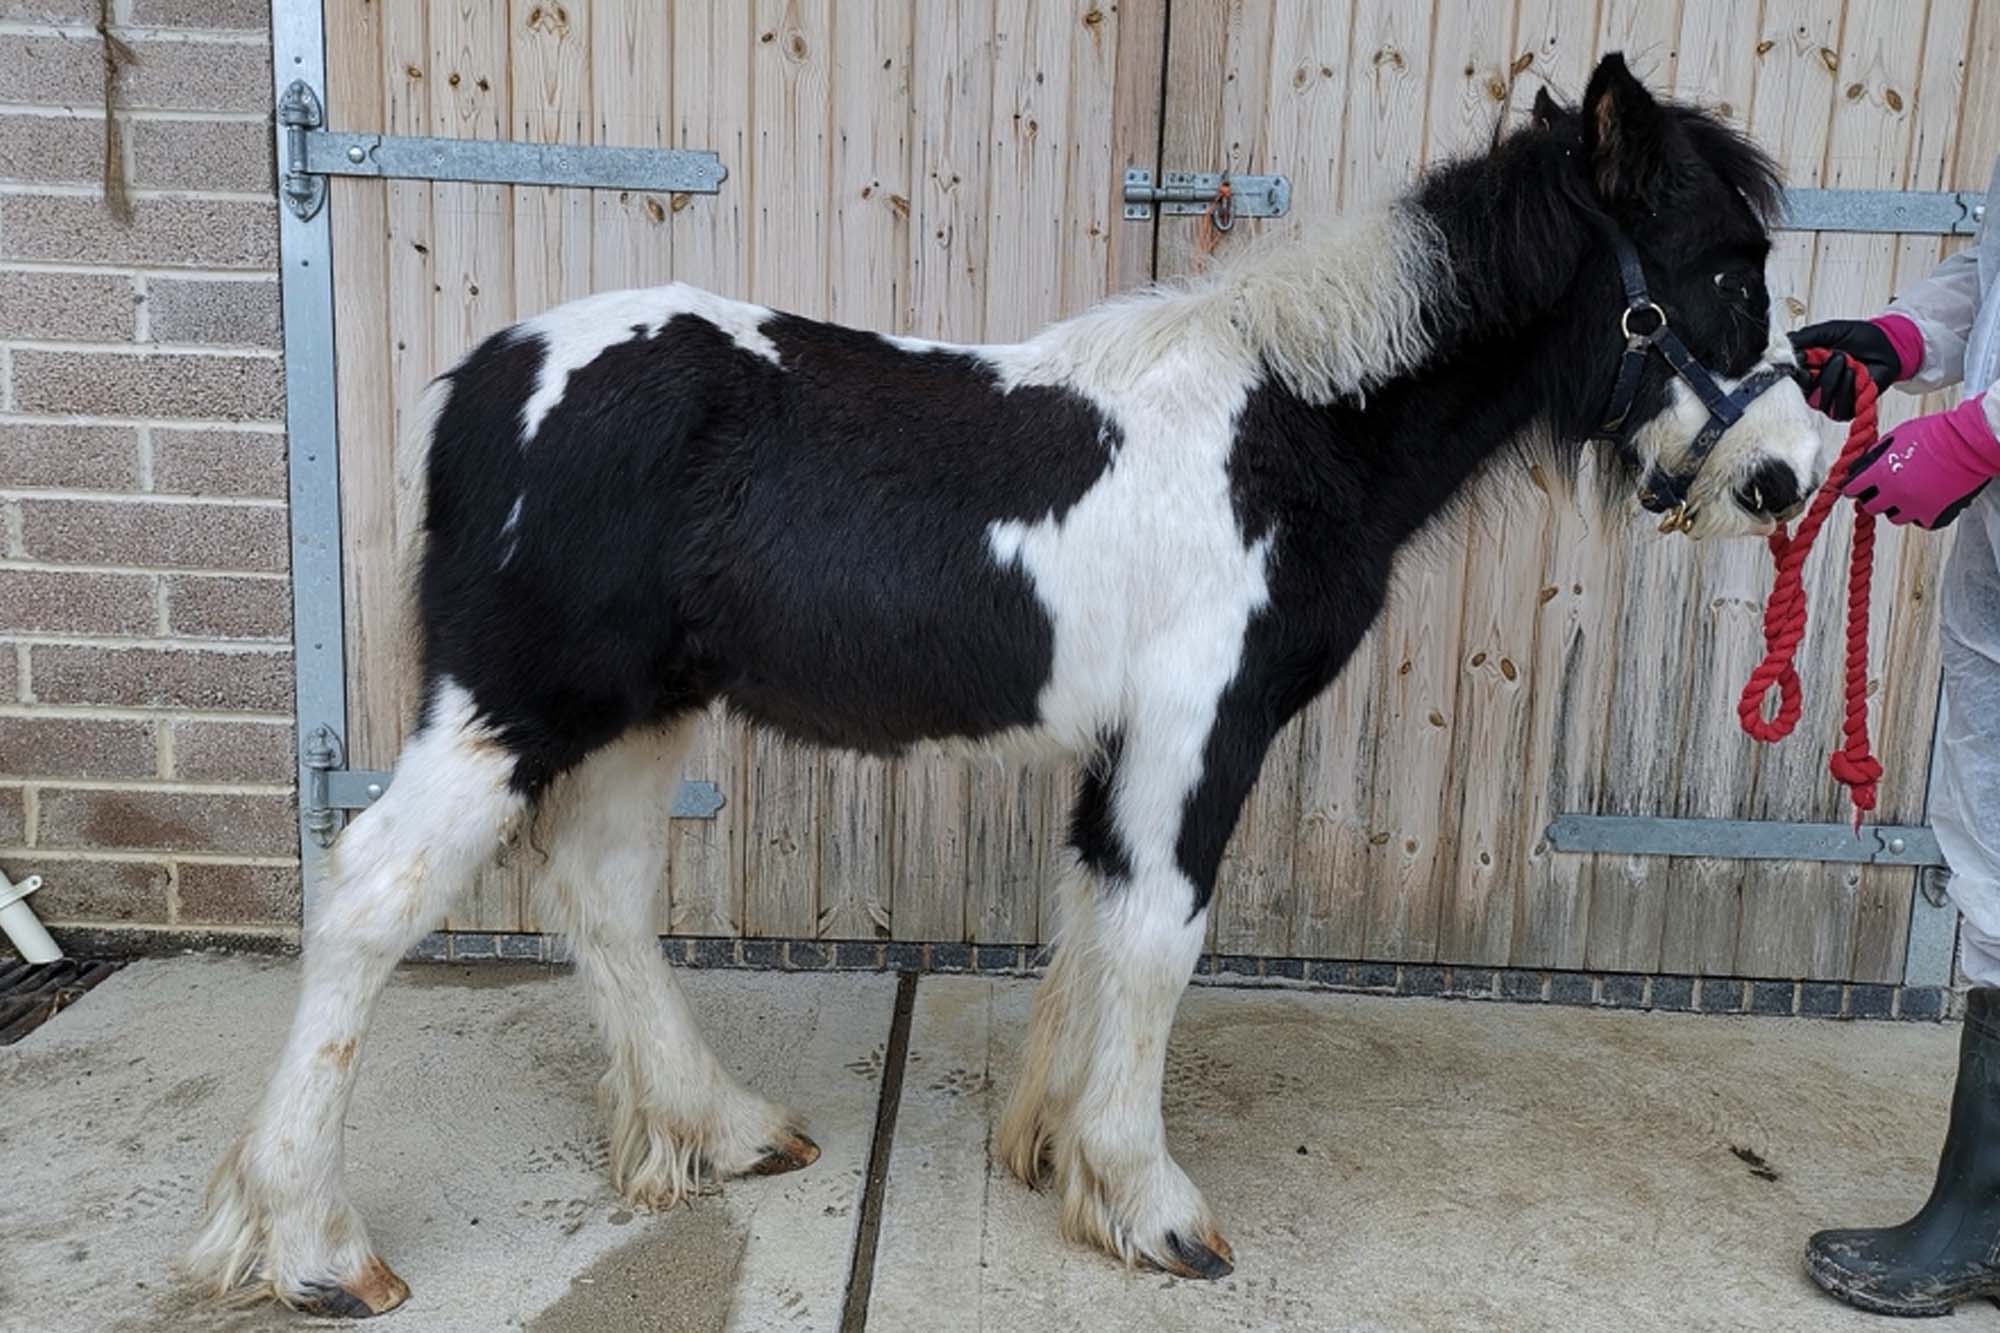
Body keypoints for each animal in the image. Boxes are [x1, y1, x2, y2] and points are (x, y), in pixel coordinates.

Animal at [191, 54, 1832, 1304]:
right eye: (1721, 268)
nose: (1787, 477)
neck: (1288, 428)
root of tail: (483, 380)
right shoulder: (1199, 732)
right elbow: (1161, 939)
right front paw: (1154, 1206)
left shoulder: (1131, 747)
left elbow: (1094, 925)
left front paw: (1057, 1155)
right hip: (510, 705)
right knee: (375, 890)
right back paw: (313, 1244)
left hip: (634, 715)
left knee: (601, 893)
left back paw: (721, 1129)